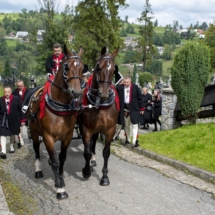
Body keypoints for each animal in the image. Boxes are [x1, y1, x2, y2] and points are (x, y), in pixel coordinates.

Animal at [26, 45, 83, 200]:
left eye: (82, 67)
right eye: (66, 67)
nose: (76, 92)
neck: (60, 106)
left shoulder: (67, 136)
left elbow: (61, 158)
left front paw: (61, 178)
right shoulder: (48, 137)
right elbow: (56, 162)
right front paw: (60, 189)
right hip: (34, 133)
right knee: (36, 150)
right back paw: (38, 170)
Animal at [77, 47, 118, 186]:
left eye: (114, 70)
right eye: (98, 68)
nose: (104, 94)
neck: (100, 105)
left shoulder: (110, 130)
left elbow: (106, 152)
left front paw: (104, 177)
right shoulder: (85, 129)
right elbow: (86, 151)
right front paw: (86, 171)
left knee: (94, 142)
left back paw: (93, 161)